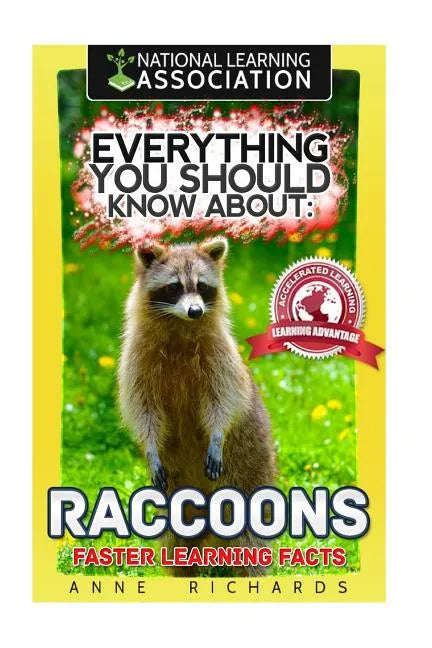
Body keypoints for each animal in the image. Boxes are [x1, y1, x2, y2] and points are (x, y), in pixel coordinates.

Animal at [119, 238, 276, 575]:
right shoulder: (137, 359)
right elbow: (142, 408)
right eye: (174, 287)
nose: (195, 311)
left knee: (249, 534)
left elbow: (225, 399)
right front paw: (149, 445)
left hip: (250, 467)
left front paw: (216, 435)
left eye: (201, 286)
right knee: (177, 536)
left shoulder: (220, 355)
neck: (178, 326)